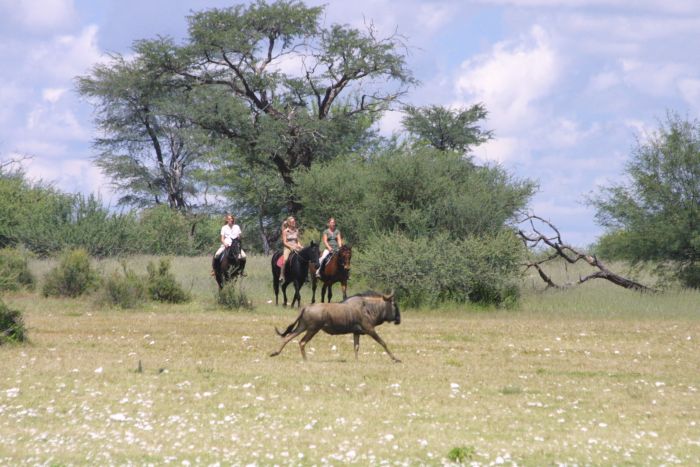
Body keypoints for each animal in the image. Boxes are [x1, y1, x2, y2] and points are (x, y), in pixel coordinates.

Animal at [270, 290, 402, 364]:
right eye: (395, 304)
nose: (399, 320)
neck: (369, 308)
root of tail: (306, 307)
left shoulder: (356, 332)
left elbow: (356, 347)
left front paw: (357, 361)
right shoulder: (370, 330)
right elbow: (383, 343)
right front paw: (396, 359)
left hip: (302, 327)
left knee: (287, 337)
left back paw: (275, 353)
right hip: (312, 329)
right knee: (301, 342)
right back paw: (306, 360)